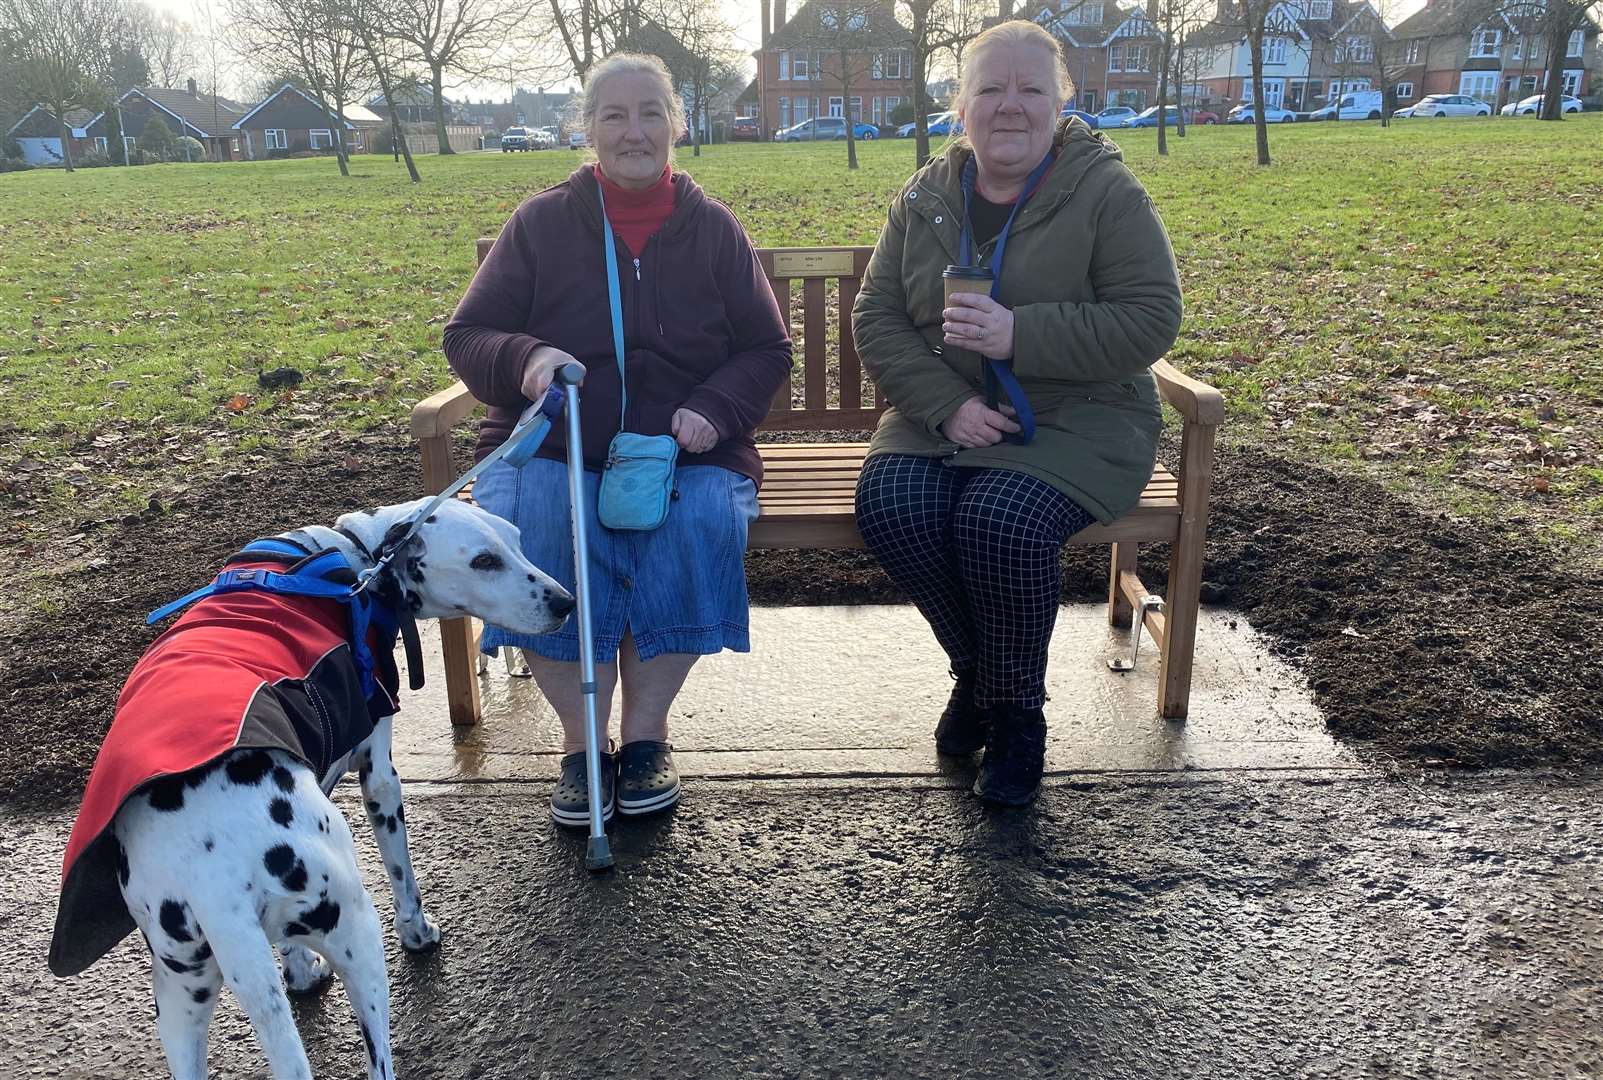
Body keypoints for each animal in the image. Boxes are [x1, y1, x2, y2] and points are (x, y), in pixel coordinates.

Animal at [50, 499, 573, 1076]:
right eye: (483, 560)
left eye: (515, 541)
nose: (566, 602)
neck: (354, 556)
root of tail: (210, 874)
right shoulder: (380, 777)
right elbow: (403, 874)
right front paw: (417, 931)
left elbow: (288, 954)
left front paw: (300, 973)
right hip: (359, 936)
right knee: (378, 1059)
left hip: (179, 1000)